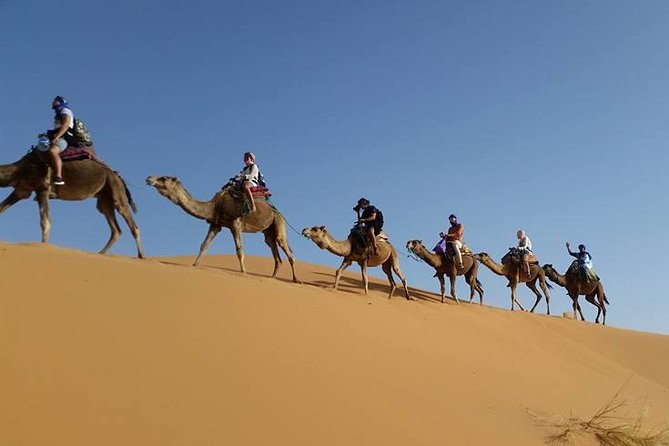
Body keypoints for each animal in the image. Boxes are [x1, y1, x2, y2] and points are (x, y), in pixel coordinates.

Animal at [0, 148, 144, 256]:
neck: (20, 168)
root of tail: (118, 176)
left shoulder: (43, 189)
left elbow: (45, 222)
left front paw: (44, 247)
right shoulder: (22, 190)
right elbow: (1, 209)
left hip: (116, 190)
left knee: (132, 224)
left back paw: (141, 256)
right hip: (104, 200)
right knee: (115, 229)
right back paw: (100, 253)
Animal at [145, 175, 298, 282]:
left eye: (163, 178)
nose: (149, 178)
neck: (215, 206)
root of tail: (277, 211)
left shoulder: (235, 224)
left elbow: (239, 250)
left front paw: (244, 272)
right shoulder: (216, 224)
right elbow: (204, 244)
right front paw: (195, 265)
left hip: (278, 222)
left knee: (286, 249)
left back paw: (296, 280)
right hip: (268, 232)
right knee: (274, 250)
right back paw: (272, 278)